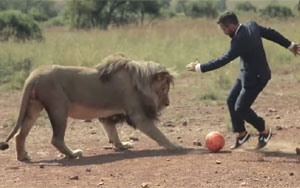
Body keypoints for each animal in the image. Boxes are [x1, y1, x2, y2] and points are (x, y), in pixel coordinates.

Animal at [0, 53, 183, 161]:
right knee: (56, 139)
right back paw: (73, 154)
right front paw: (174, 146)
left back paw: (23, 157)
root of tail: (35, 74)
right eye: (164, 89)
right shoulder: (138, 115)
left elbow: (112, 132)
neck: (140, 81)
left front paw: (121, 145)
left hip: (33, 108)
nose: (167, 103)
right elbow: (158, 134)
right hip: (58, 107)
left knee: (20, 135)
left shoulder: (107, 116)